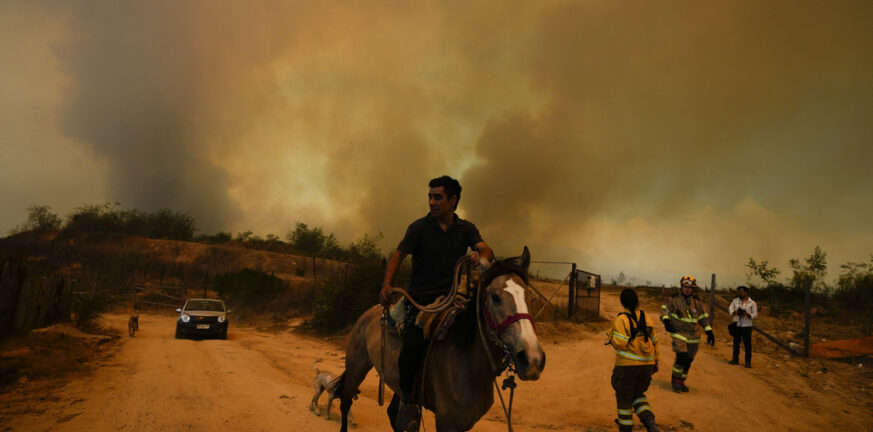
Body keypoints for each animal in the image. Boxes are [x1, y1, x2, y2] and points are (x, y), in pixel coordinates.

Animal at [332, 246, 544, 432]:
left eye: (531, 297)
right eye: (495, 297)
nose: (532, 359)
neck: (467, 362)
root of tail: (372, 311)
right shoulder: (446, 423)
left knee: (394, 415)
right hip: (357, 367)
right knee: (345, 403)